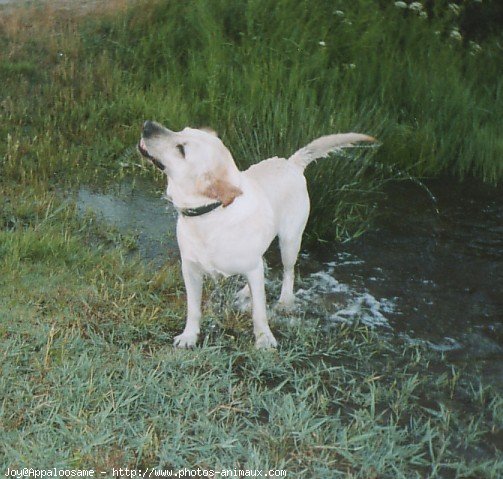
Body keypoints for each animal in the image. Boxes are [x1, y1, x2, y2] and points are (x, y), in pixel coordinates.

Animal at [138, 121, 374, 348]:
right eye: (181, 130)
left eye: (182, 149)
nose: (147, 125)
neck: (210, 213)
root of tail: (291, 163)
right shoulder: (190, 269)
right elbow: (193, 309)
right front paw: (189, 336)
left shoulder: (252, 268)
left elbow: (259, 311)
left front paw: (264, 339)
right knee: (264, 266)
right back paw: (246, 291)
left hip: (290, 241)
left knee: (288, 272)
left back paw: (285, 300)